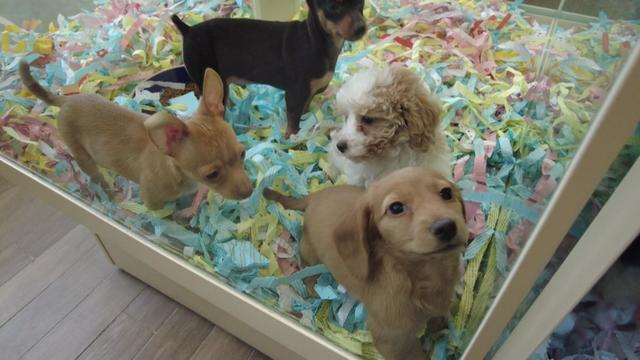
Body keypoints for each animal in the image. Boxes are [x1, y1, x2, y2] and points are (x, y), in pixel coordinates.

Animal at [20, 60, 250, 210]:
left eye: (243, 154)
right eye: (212, 174)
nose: (248, 192)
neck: (179, 174)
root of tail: (67, 100)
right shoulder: (153, 202)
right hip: (83, 157)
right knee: (97, 176)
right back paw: (112, 197)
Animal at [171, 0, 364, 136]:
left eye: (361, 4)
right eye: (333, 7)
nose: (361, 28)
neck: (316, 40)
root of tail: (187, 29)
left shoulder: (309, 93)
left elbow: (303, 112)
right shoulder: (295, 94)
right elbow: (293, 121)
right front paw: (291, 139)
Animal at [262, 168, 468, 360]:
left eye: (446, 193)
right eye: (396, 208)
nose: (446, 227)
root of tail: (315, 196)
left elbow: (438, 312)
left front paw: (438, 323)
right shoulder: (393, 338)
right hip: (310, 251)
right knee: (307, 267)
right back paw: (313, 285)